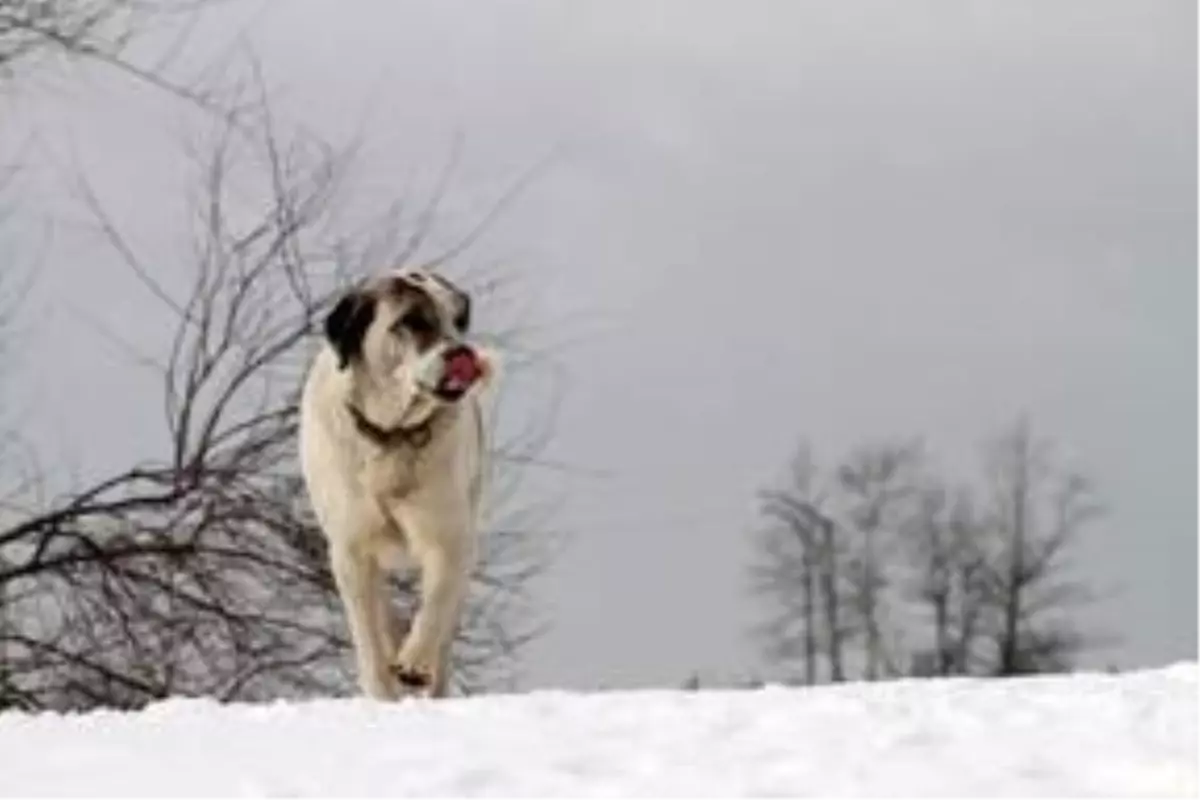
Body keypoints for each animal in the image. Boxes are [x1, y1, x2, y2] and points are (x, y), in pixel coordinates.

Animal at [298, 268, 496, 700]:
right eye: (412, 321)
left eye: (459, 320)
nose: (461, 354)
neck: (392, 436)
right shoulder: (351, 552)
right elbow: (370, 637)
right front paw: (383, 686)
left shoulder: (450, 539)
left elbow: (434, 604)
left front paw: (415, 663)